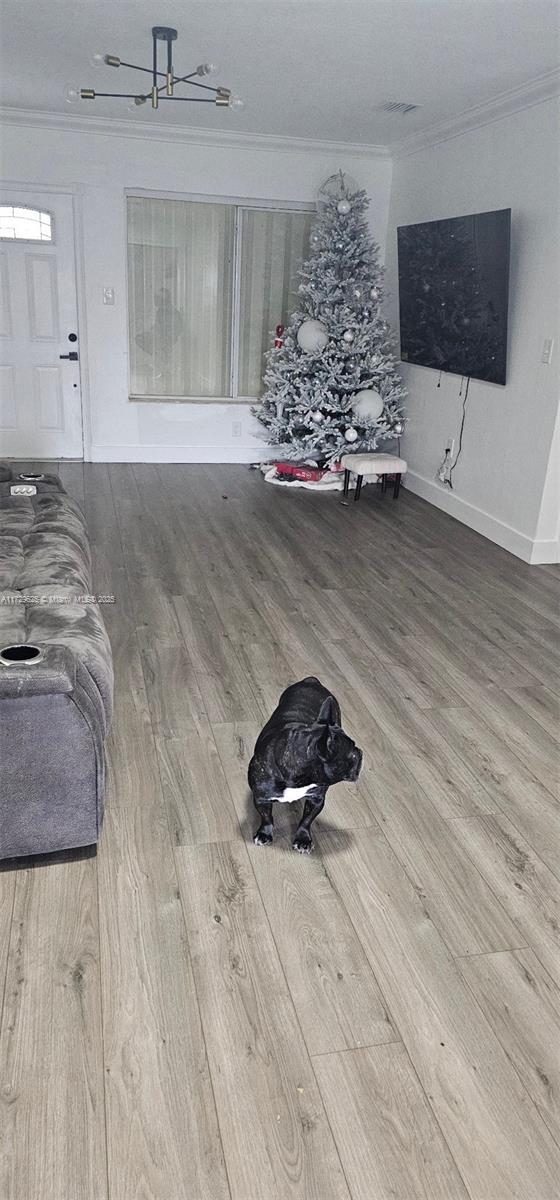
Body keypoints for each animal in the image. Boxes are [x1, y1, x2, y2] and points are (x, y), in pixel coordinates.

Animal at [249, 676, 364, 854]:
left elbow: (307, 820)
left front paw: (303, 839)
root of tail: (311, 680)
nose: (361, 753)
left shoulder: (316, 799)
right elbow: (266, 816)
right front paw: (264, 834)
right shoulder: (261, 797)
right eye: (352, 754)